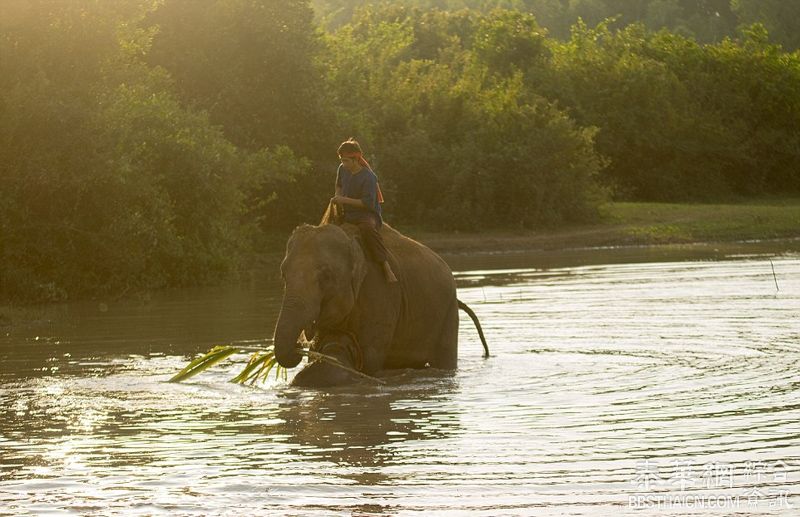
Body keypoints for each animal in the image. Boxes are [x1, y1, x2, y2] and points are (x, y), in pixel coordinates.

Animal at [274, 220, 488, 384]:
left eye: (326, 277)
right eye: (283, 274)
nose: (299, 344)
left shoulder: (380, 292)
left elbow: (370, 359)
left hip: (448, 309)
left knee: (445, 359)